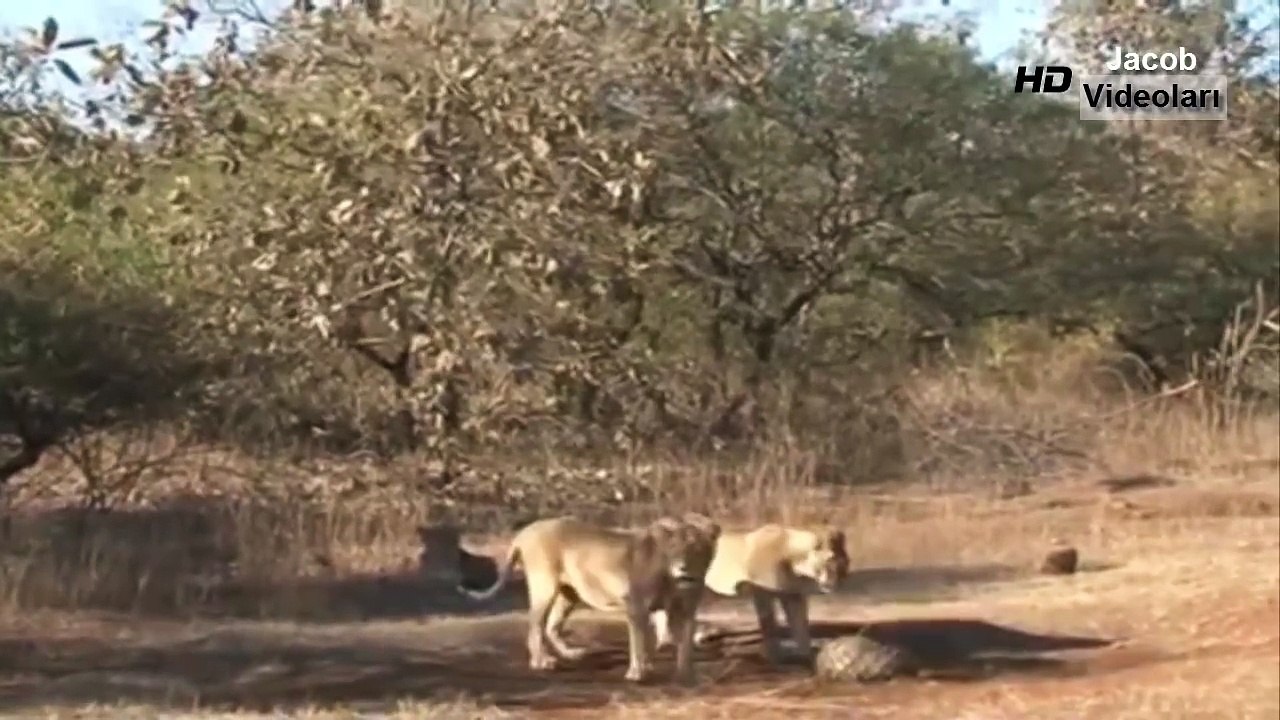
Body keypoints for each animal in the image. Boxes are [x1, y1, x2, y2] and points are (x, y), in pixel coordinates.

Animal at [457, 513, 722, 685]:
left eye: (697, 548)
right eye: (674, 548)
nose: (683, 567)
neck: (673, 578)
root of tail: (525, 531)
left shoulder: (685, 610)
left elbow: (684, 643)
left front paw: (686, 674)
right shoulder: (636, 607)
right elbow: (639, 643)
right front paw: (638, 672)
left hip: (570, 594)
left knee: (552, 626)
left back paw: (571, 654)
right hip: (544, 586)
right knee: (536, 625)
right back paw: (542, 661)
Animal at [654, 524, 849, 665]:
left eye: (845, 560)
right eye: (831, 559)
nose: (840, 579)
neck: (797, 563)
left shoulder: (793, 596)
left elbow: (800, 625)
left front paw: (805, 654)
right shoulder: (761, 592)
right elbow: (768, 624)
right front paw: (773, 656)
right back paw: (667, 643)